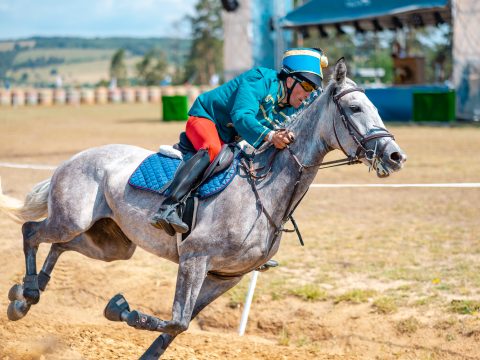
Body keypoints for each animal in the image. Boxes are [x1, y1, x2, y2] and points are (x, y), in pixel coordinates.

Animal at [0, 59, 404, 360]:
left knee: (60, 245)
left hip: (113, 245)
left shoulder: (226, 277)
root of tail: (71, 159)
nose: (395, 156)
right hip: (72, 219)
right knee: (32, 232)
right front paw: (118, 307)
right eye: (354, 108)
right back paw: (26, 295)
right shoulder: (195, 259)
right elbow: (176, 321)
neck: (265, 191)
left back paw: (28, 293)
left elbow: (178, 327)